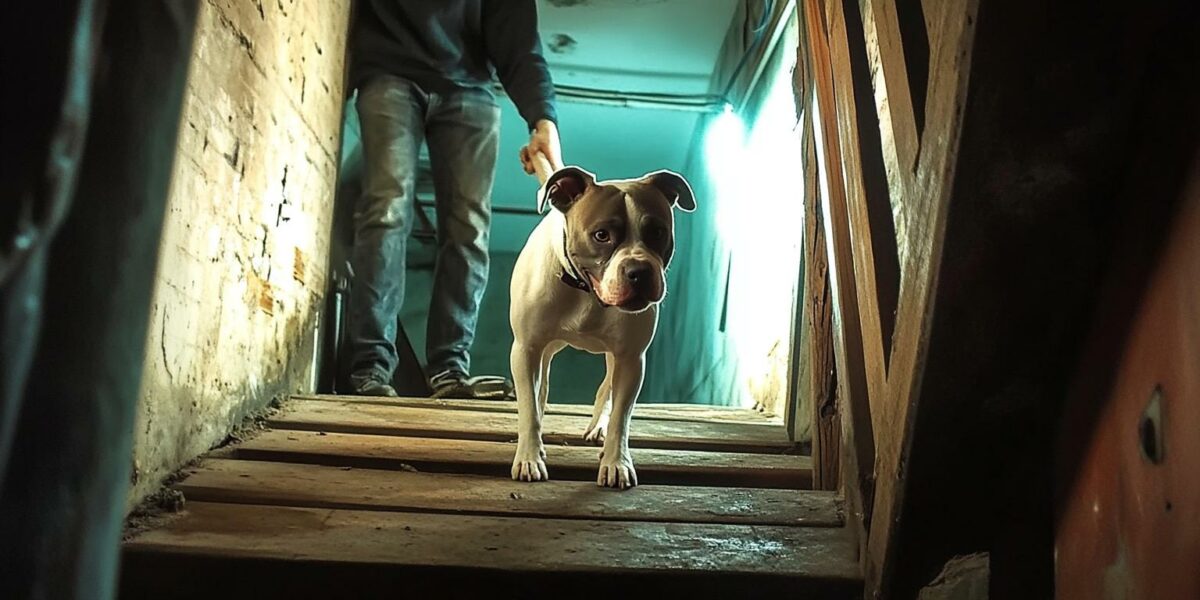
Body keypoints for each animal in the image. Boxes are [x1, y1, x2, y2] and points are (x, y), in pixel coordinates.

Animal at [506, 163, 696, 487]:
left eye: (657, 232)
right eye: (601, 235)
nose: (639, 270)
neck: (587, 293)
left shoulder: (631, 359)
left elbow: (622, 416)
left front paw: (616, 462)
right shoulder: (526, 349)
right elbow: (529, 407)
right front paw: (529, 457)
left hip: (614, 358)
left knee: (606, 388)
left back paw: (598, 428)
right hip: (545, 350)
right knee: (541, 389)